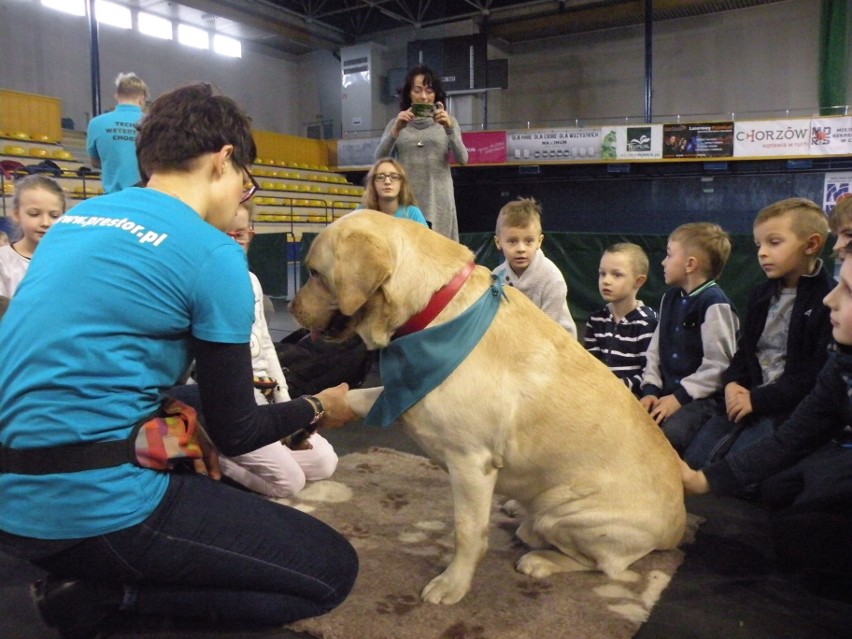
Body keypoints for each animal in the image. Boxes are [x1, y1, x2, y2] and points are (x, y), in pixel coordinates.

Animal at [290, 210, 688, 604]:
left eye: (314, 273)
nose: (292, 308)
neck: (434, 309)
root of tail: (678, 526)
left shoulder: (471, 463)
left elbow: (468, 532)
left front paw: (453, 583)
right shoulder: (405, 393)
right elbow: (360, 396)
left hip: (565, 512)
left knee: (600, 564)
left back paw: (540, 559)